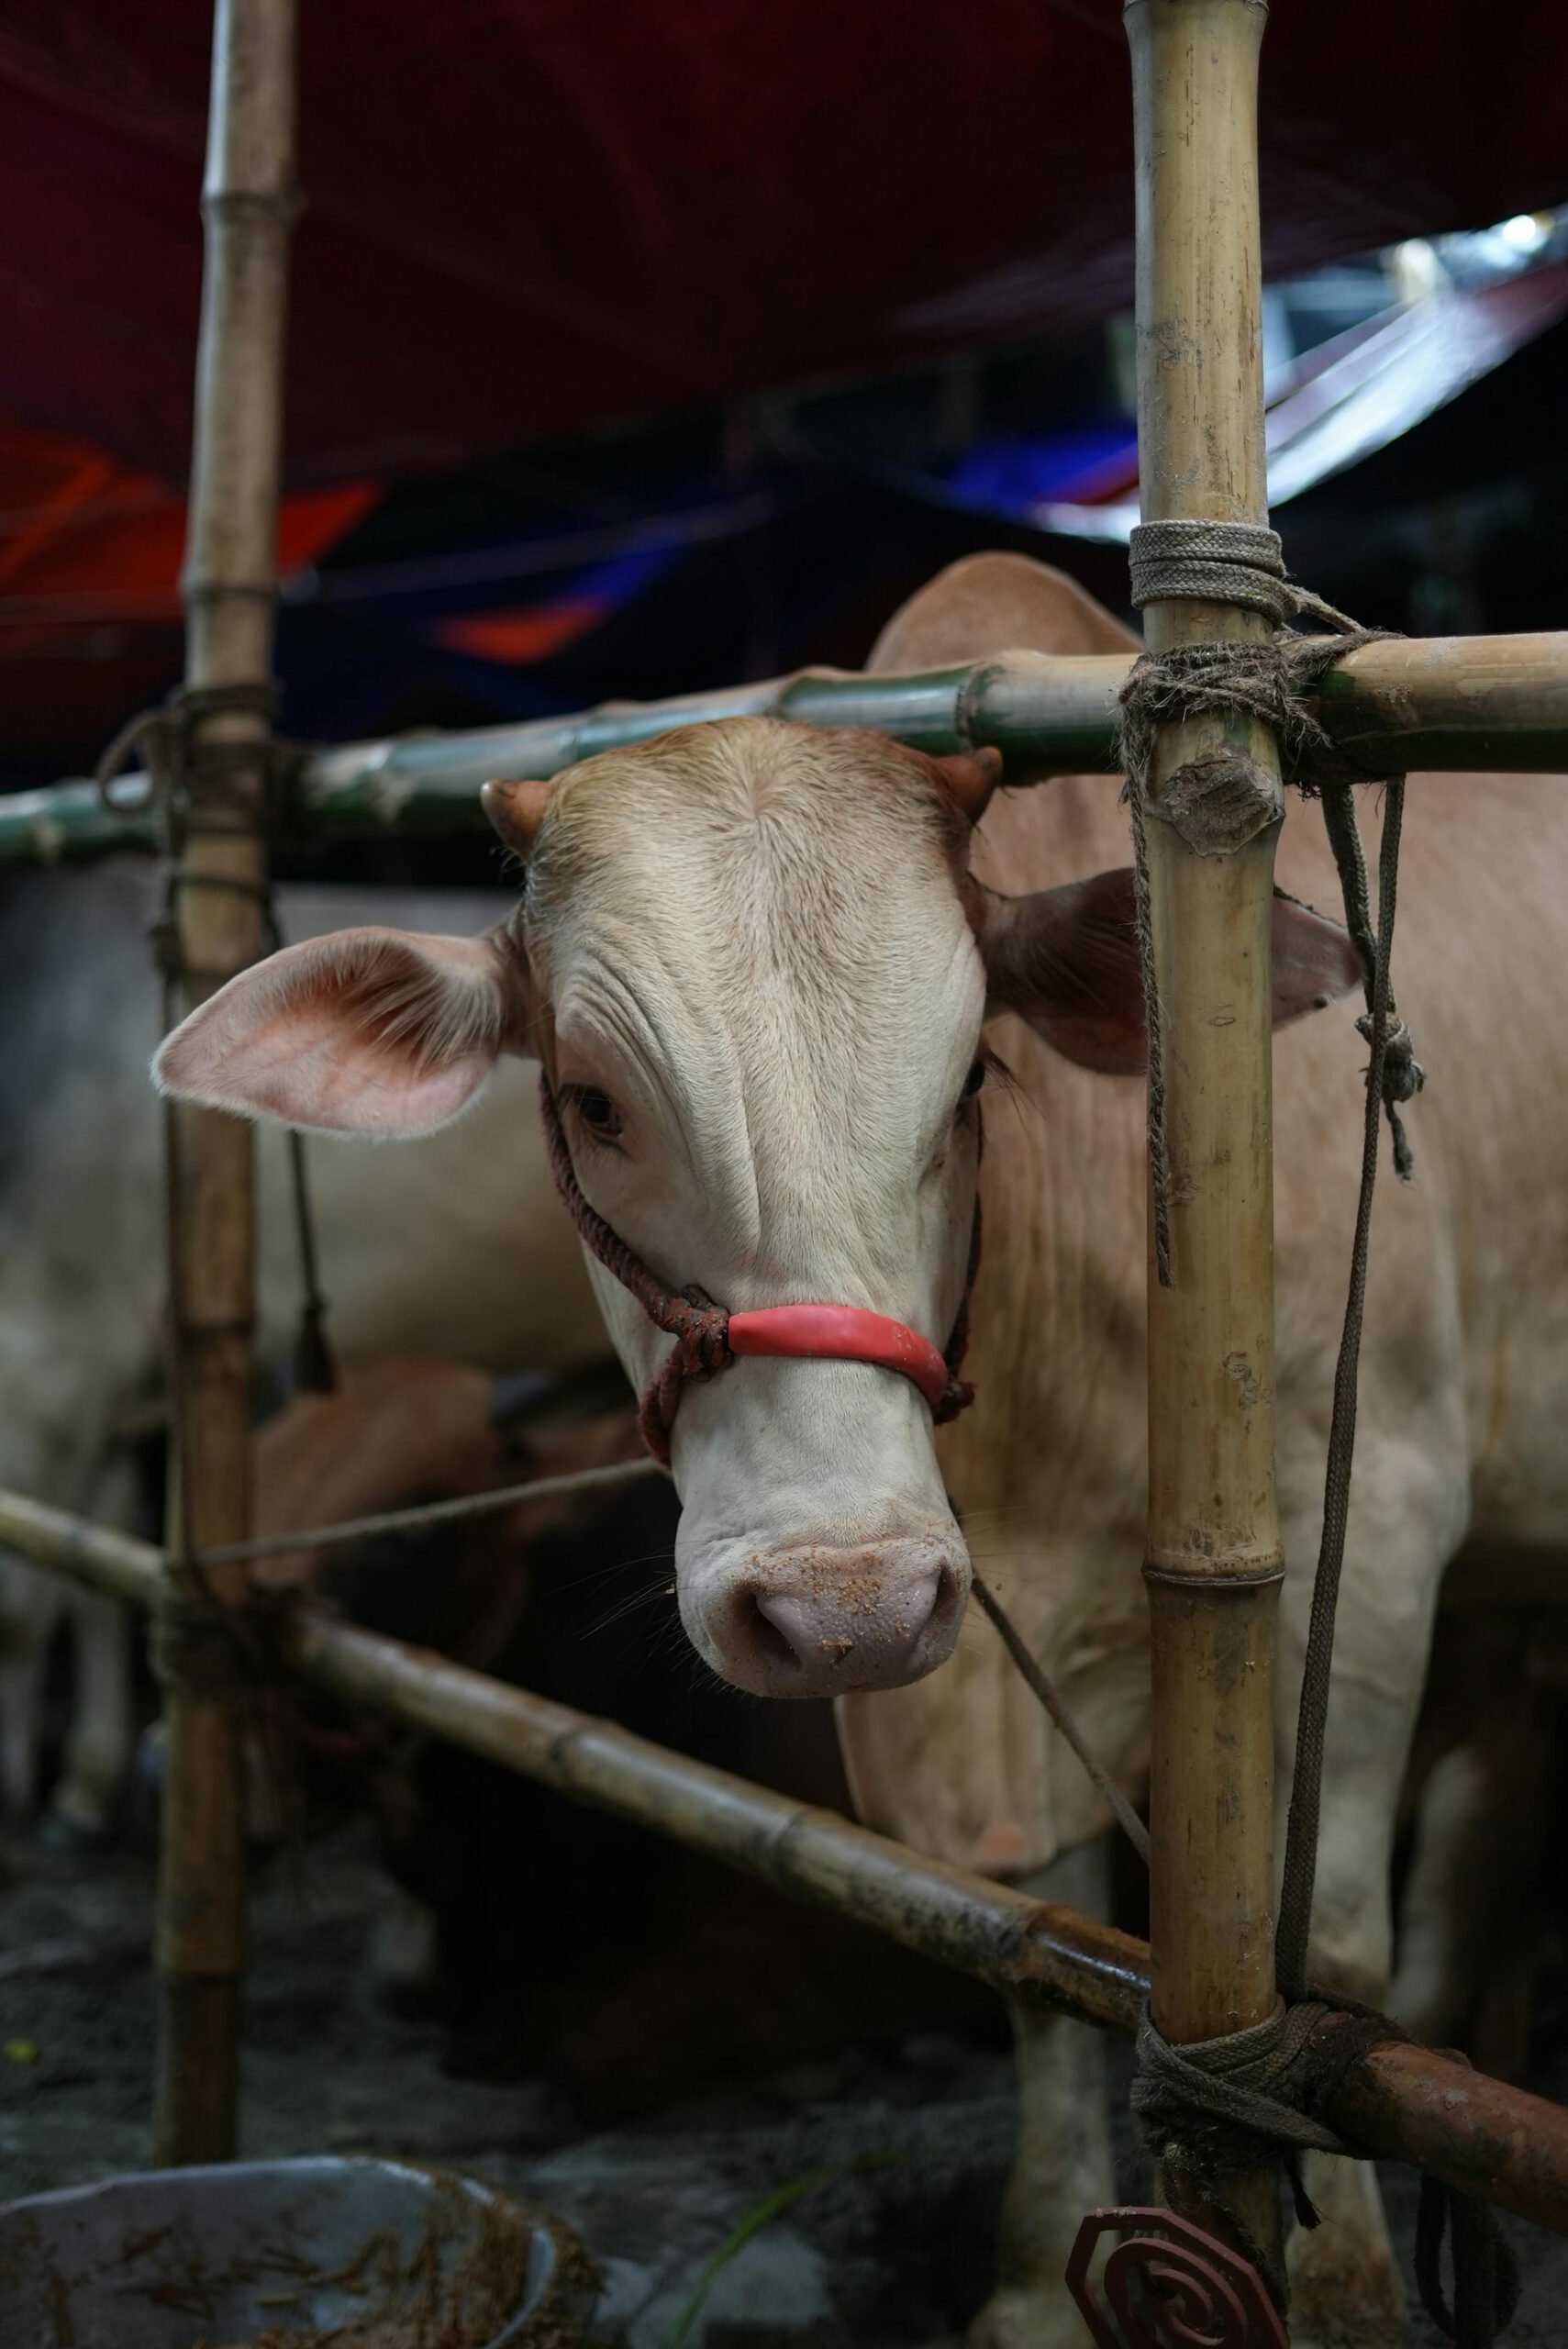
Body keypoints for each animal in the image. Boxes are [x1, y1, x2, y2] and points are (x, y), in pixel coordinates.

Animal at [154, 553, 1568, 2348]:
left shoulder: (1366, 1531)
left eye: (971, 1079)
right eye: (592, 1099)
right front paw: (1033, 2279)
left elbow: (1328, 1957)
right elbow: (1039, 1937)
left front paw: (1347, 2299)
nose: (843, 1606)